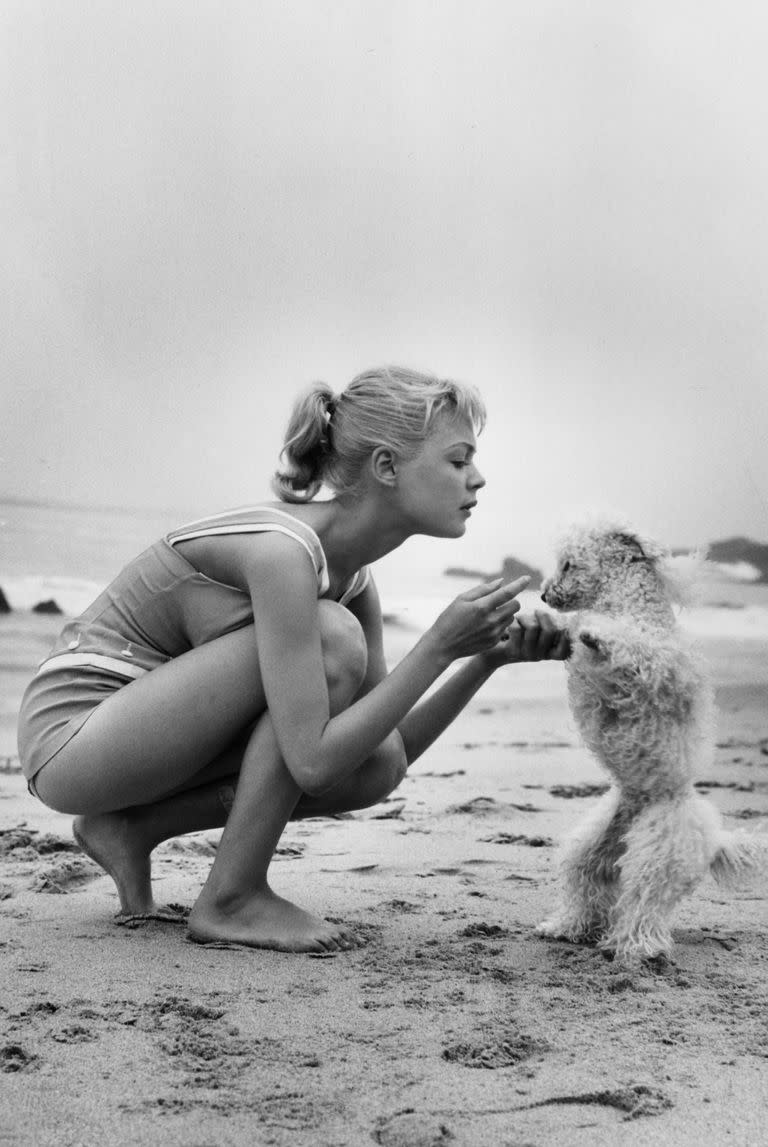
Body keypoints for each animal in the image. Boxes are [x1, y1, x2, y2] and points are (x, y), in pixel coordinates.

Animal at [536, 525, 765, 963]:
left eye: (568, 564)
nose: (543, 594)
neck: (626, 607)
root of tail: (713, 837)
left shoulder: (660, 668)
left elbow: (630, 649)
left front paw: (597, 632)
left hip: (658, 855)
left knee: (644, 905)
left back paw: (633, 949)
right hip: (592, 846)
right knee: (586, 886)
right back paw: (566, 927)